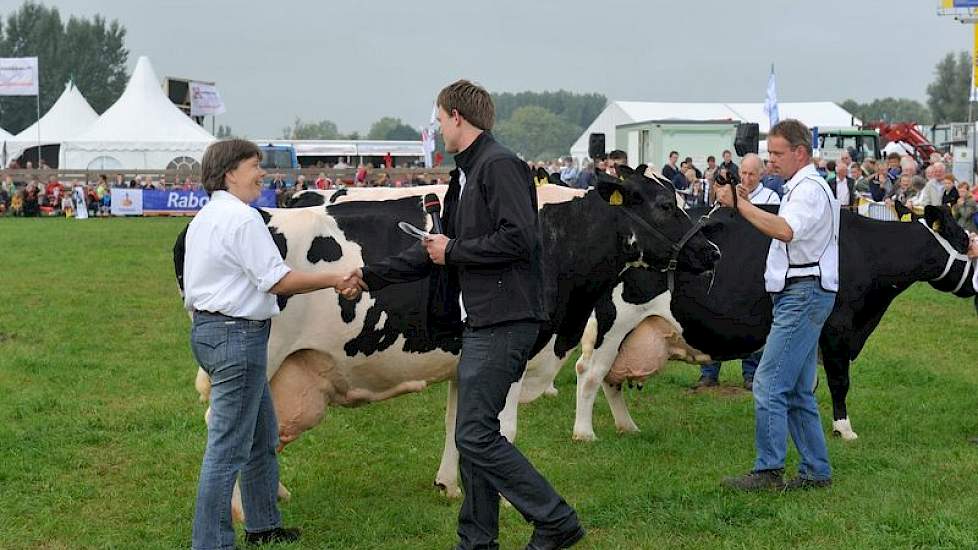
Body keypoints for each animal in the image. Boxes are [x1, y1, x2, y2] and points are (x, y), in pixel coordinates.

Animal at [568, 205, 972, 442]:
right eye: (966, 239)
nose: (974, 286)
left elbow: (804, 384)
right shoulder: (838, 329)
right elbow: (839, 382)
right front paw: (844, 429)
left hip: (631, 333)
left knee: (610, 379)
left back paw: (627, 426)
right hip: (613, 323)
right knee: (589, 373)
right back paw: (584, 433)